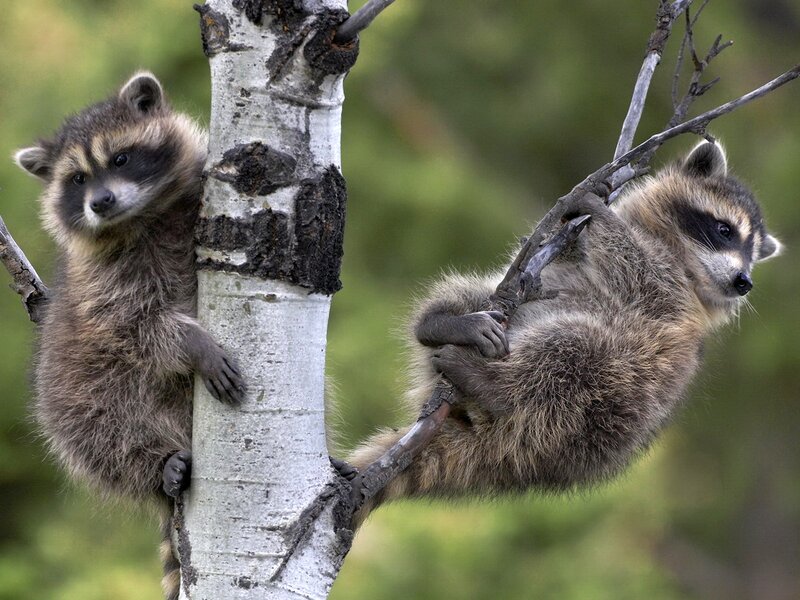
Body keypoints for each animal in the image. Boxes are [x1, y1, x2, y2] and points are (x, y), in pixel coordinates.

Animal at [13, 72, 245, 600]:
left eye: (120, 159)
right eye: (77, 180)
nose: (100, 202)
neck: (141, 216)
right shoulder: (102, 284)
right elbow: (135, 327)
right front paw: (192, 344)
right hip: (73, 391)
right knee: (97, 432)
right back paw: (156, 466)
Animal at [346, 142, 781, 523]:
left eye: (752, 254)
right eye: (725, 230)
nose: (744, 282)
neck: (679, 254)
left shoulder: (674, 302)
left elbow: (641, 276)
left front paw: (603, 217)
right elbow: (546, 249)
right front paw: (587, 208)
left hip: (604, 408)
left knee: (573, 355)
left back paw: (495, 386)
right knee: (475, 293)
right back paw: (443, 322)